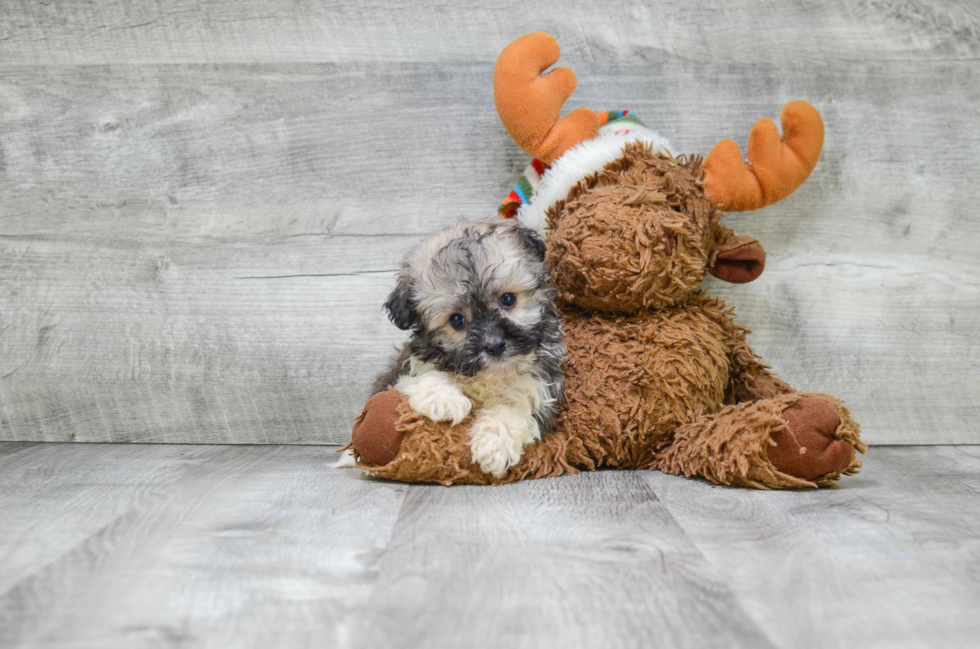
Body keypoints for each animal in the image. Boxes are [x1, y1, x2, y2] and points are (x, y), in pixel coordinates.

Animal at [370, 218, 568, 476]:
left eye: (508, 299)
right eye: (456, 320)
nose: (495, 345)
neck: (487, 376)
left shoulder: (538, 384)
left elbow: (515, 406)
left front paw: (495, 443)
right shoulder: (405, 371)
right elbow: (426, 376)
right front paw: (443, 399)